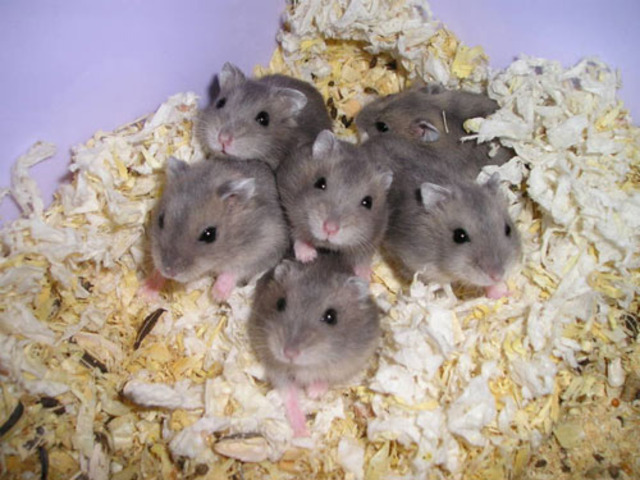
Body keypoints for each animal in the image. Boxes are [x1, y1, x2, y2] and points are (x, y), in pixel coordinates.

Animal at [148, 156, 289, 301]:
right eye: (160, 220)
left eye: (209, 234)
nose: (169, 271)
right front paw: (147, 291)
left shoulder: (266, 247)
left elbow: (236, 270)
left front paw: (216, 295)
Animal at [248, 254, 380, 436]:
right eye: (280, 303)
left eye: (331, 316)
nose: (289, 353)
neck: (304, 366)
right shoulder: (274, 366)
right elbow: (289, 394)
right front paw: (302, 432)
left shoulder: (349, 364)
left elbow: (326, 379)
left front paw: (312, 393)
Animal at [277, 130, 393, 277]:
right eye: (320, 183)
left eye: (368, 202)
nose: (330, 229)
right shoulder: (287, 203)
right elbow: (297, 233)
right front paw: (308, 257)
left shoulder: (374, 237)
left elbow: (362, 257)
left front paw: (365, 276)